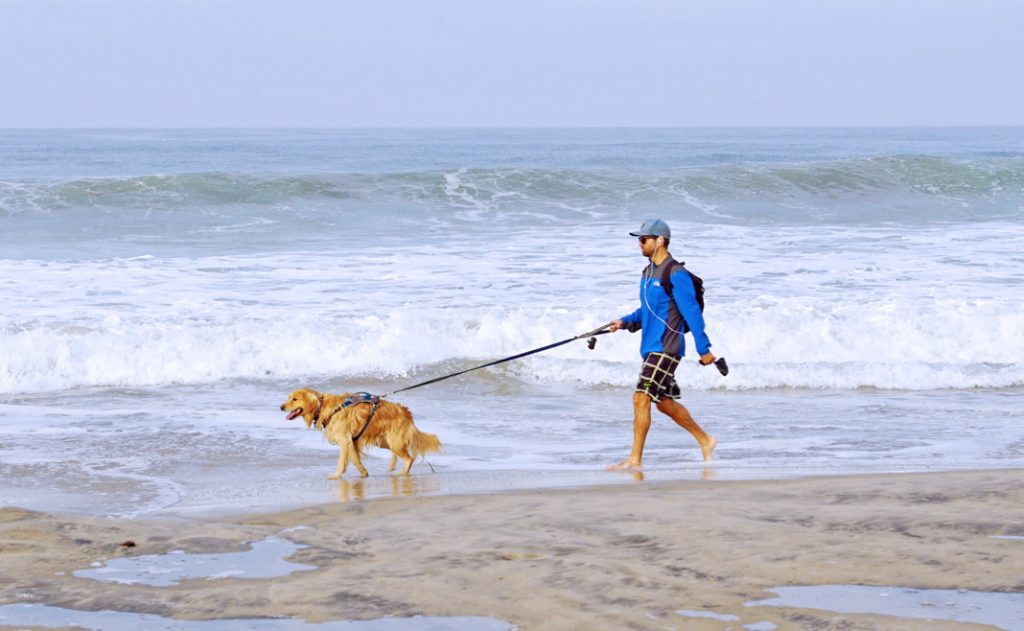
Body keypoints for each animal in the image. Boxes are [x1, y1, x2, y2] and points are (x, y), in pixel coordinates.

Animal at [280, 387, 440, 481]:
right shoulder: (353, 441)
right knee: (399, 454)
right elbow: (356, 460)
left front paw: (336, 475)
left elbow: (342, 462)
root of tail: (406, 412)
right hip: (386, 441)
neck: (324, 407)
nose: (281, 407)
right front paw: (364, 473)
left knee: (409, 458)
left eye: (295, 399)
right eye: (289, 398)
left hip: (394, 441)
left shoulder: (345, 441)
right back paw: (392, 466)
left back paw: (403, 473)